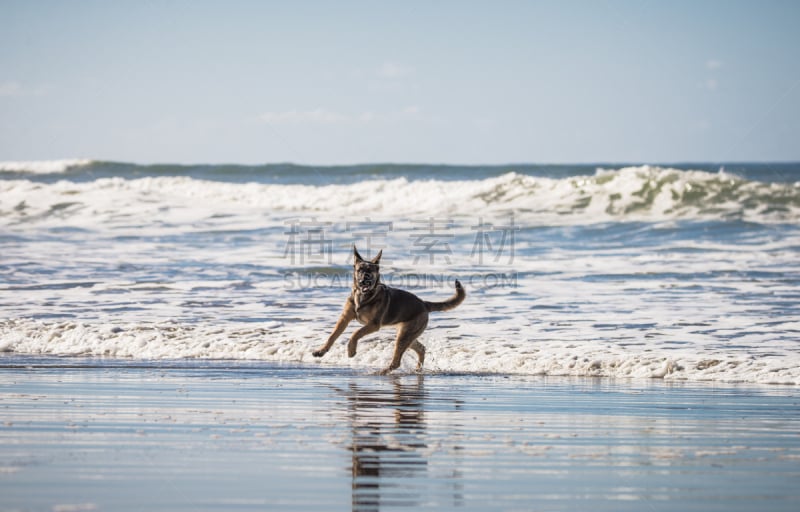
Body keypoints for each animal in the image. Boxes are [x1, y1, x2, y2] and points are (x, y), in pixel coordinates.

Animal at [310, 246, 466, 374]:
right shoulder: (344, 318)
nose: (363, 282)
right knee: (421, 348)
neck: (363, 297)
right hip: (406, 335)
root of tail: (423, 303)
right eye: (360, 270)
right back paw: (417, 369)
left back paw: (381, 372)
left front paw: (351, 350)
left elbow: (355, 333)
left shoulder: (373, 325)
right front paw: (321, 351)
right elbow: (332, 335)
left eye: (371, 271)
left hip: (403, 336)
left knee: (397, 362)